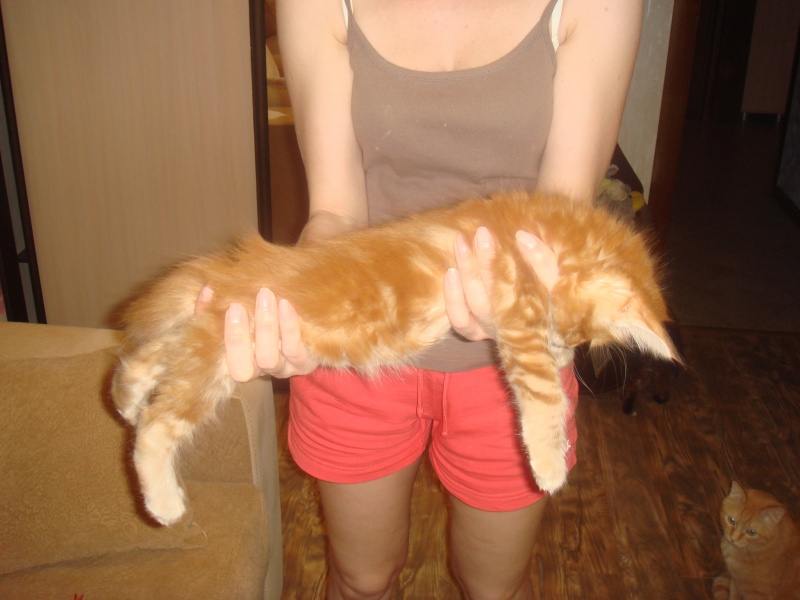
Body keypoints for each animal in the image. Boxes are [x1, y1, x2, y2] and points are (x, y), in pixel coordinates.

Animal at [111, 190, 679, 525]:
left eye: (577, 341)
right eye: (565, 331)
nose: (564, 348)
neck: (545, 227)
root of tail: (229, 274)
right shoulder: (519, 317)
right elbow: (542, 400)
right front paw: (549, 466)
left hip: (205, 339)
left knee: (145, 359)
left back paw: (124, 397)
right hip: (214, 360)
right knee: (157, 430)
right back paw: (162, 502)